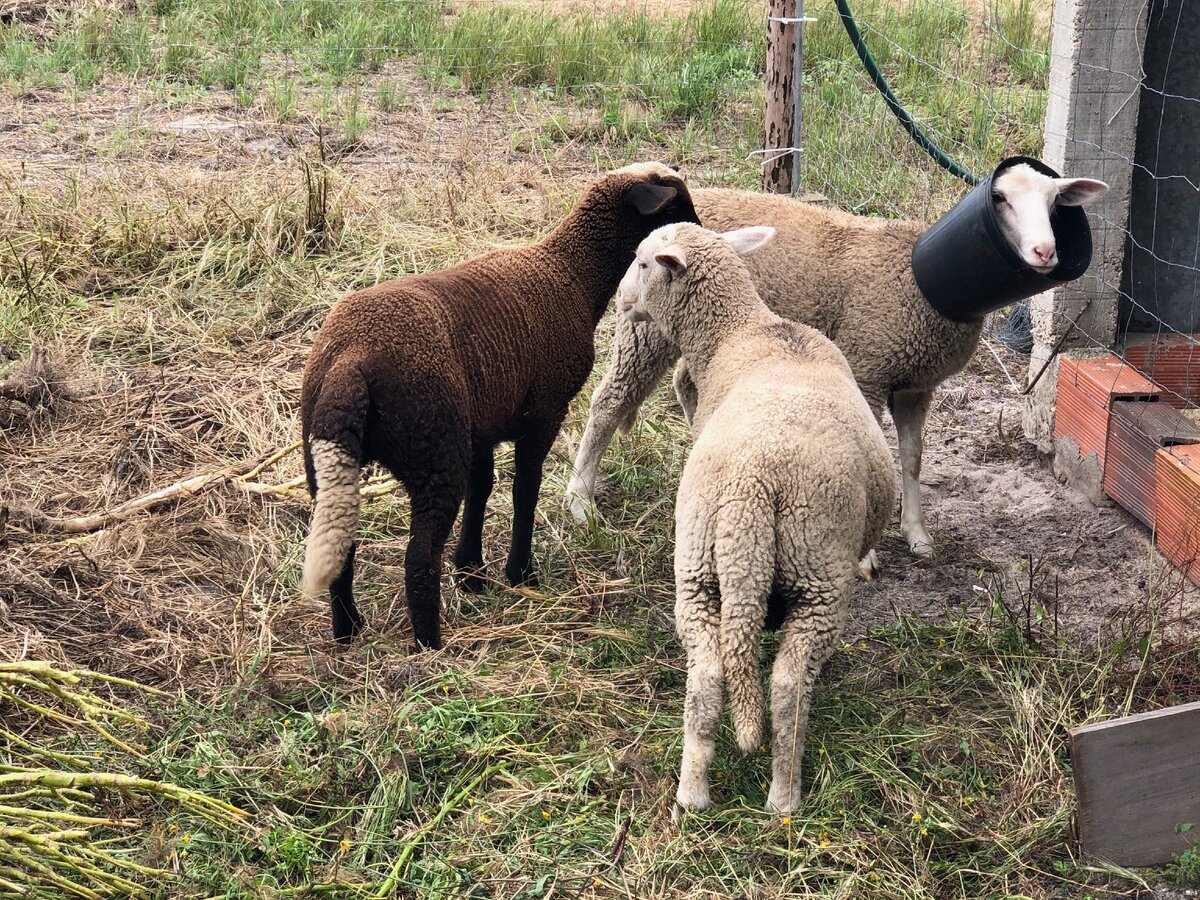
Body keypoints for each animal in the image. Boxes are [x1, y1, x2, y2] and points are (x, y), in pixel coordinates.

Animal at [295, 164, 700, 648]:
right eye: (676, 208)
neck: (571, 273)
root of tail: (351, 360)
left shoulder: (482, 424)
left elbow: (483, 489)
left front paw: (471, 571)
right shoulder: (543, 412)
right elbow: (525, 489)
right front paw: (519, 573)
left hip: (329, 457)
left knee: (342, 539)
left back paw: (347, 630)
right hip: (434, 450)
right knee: (418, 557)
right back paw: (430, 646)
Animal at [566, 160, 1108, 556]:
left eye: (1055, 204)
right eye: (998, 199)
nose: (1046, 252)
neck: (921, 281)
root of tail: (691, 202)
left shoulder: (916, 384)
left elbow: (912, 458)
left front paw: (916, 534)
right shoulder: (867, 367)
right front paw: (867, 549)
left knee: (685, 380)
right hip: (644, 328)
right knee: (610, 401)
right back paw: (579, 499)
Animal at [619, 224, 892, 816]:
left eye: (643, 263)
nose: (623, 304)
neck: (741, 331)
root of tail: (753, 484)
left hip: (699, 566)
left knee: (707, 677)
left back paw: (693, 793)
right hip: (815, 572)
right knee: (788, 686)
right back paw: (784, 796)